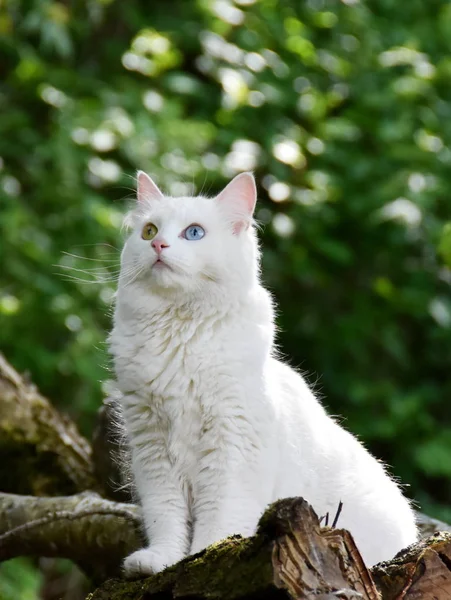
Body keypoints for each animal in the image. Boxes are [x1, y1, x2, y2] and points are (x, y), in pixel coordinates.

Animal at [107, 170, 418, 576]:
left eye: (194, 233)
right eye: (148, 231)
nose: (158, 244)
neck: (178, 333)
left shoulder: (232, 445)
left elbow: (220, 517)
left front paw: (205, 556)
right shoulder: (152, 449)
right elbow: (166, 518)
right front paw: (161, 561)